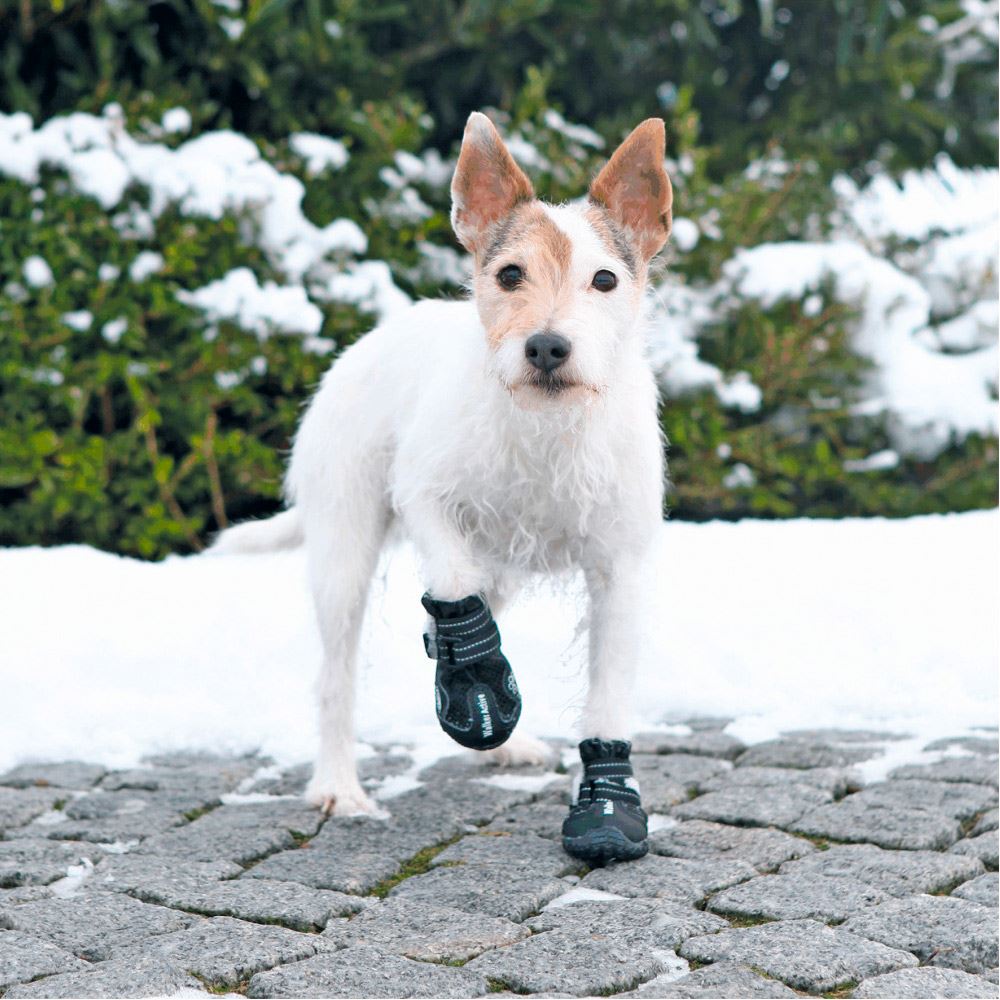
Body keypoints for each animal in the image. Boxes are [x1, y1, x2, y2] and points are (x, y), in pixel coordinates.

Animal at [214, 109, 668, 860]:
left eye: (604, 281)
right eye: (509, 274)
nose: (547, 346)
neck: (544, 427)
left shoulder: (621, 571)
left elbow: (607, 695)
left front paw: (608, 808)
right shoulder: (426, 498)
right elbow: (452, 588)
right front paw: (471, 677)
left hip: (500, 566)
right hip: (344, 554)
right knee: (337, 678)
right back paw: (340, 784)